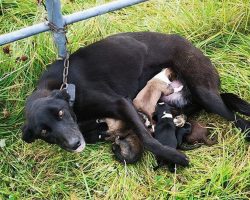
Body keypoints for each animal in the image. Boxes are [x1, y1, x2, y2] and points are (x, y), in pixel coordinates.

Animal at [21, 32, 250, 167]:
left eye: (61, 113)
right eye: (44, 132)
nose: (74, 144)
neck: (64, 87)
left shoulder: (121, 104)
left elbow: (147, 139)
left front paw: (173, 156)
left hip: (205, 92)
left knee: (237, 119)